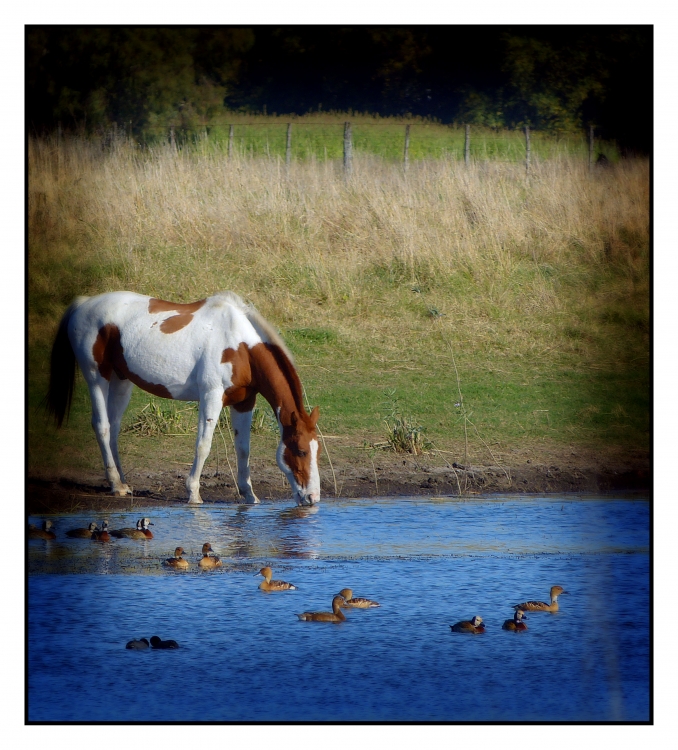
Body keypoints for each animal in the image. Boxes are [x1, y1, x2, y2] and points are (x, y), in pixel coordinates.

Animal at [46, 290, 322, 508]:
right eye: (300, 450)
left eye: (315, 450)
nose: (312, 498)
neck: (241, 345)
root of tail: (84, 303)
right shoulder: (211, 396)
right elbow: (203, 445)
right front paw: (194, 492)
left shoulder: (244, 402)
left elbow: (243, 448)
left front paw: (249, 496)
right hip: (97, 378)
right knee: (102, 426)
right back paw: (115, 483)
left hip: (121, 381)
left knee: (113, 428)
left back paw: (122, 483)